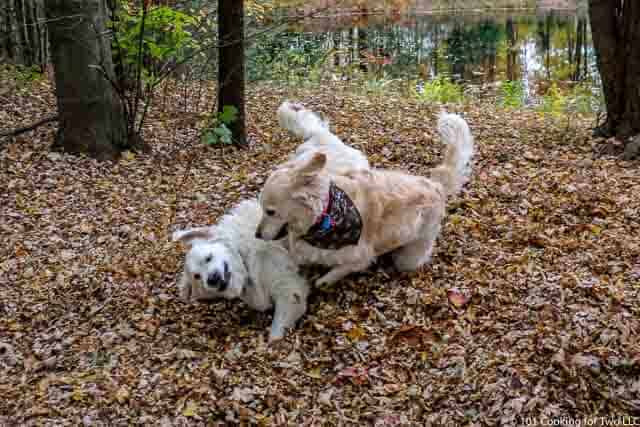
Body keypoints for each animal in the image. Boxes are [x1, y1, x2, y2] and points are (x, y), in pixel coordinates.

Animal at [256, 113, 476, 288]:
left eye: (270, 211)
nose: (257, 235)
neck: (326, 214)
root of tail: (436, 184)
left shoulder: (361, 256)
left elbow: (341, 268)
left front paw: (324, 280)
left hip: (410, 255)